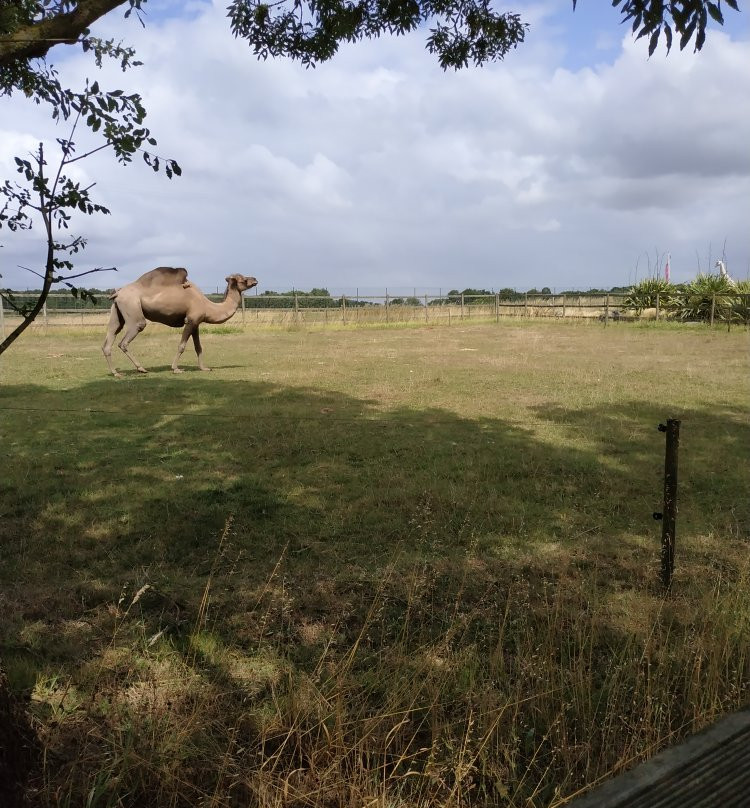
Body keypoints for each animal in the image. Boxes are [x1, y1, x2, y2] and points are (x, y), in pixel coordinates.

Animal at [102, 266, 258, 378]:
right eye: (242, 280)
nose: (255, 279)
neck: (208, 306)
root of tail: (118, 293)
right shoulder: (191, 320)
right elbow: (182, 346)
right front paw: (176, 368)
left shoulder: (196, 323)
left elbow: (198, 347)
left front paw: (204, 368)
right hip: (133, 310)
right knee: (126, 339)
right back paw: (141, 369)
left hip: (117, 312)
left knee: (110, 337)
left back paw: (116, 373)